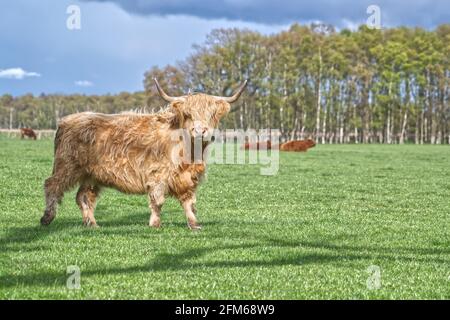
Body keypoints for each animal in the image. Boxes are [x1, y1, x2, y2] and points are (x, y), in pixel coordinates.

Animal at [40, 80, 248, 230]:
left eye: (211, 114)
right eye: (188, 114)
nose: (200, 130)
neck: (189, 151)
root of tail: (65, 120)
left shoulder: (188, 178)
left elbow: (189, 202)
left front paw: (194, 224)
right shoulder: (157, 175)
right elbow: (158, 200)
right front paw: (155, 224)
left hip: (91, 175)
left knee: (83, 197)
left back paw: (92, 224)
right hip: (67, 166)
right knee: (52, 185)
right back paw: (47, 218)